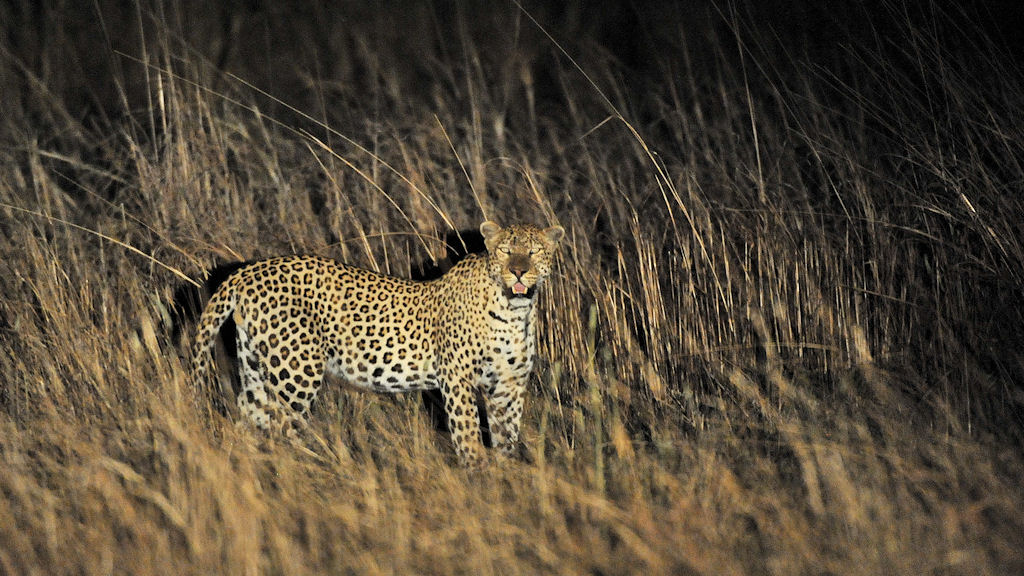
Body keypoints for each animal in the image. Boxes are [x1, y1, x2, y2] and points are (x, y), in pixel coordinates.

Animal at [190, 221, 565, 466]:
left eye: (533, 252)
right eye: (505, 251)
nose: (518, 271)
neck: (515, 311)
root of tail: (246, 272)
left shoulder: (508, 385)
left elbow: (507, 437)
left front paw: (504, 475)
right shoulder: (458, 379)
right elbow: (468, 433)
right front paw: (478, 474)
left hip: (257, 368)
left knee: (249, 421)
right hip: (295, 373)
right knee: (281, 425)